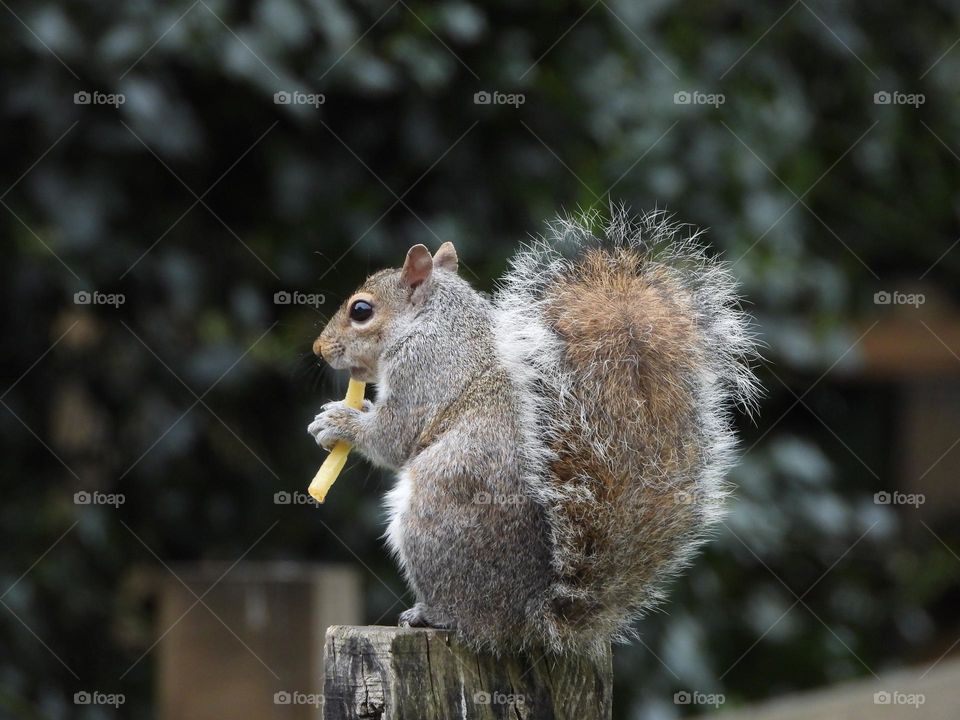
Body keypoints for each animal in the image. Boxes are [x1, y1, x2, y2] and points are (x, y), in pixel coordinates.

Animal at [308, 208, 759, 660]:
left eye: (361, 310)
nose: (318, 349)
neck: (434, 320)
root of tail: (527, 619)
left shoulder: (424, 371)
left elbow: (393, 437)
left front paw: (338, 421)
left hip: (434, 510)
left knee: (463, 616)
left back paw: (429, 614)